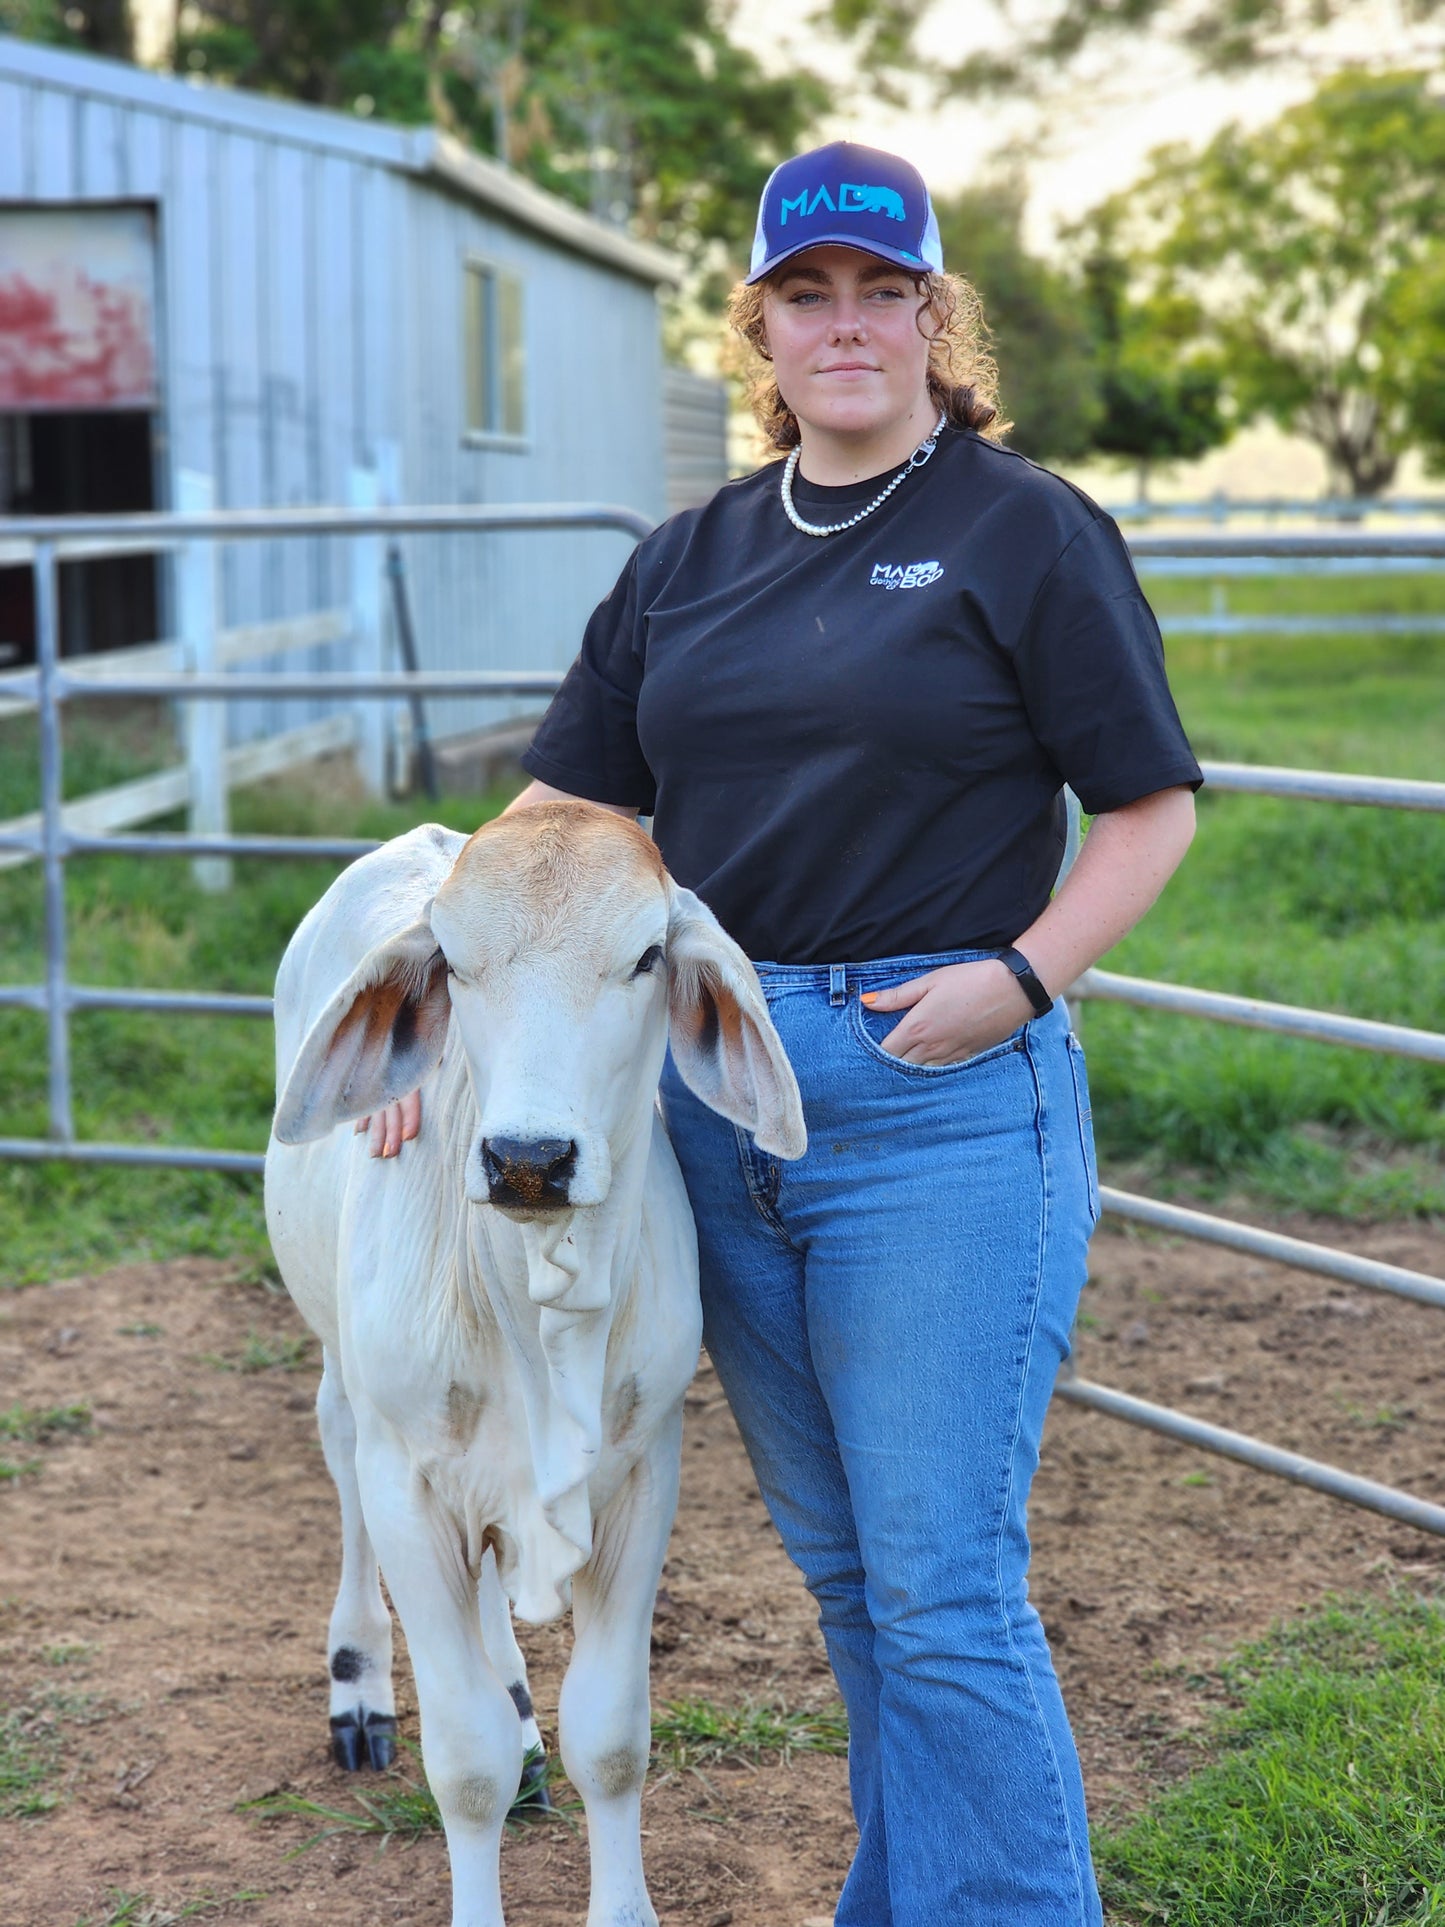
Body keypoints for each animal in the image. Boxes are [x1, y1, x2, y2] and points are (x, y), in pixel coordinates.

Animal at [265, 805, 809, 1927]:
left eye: (644, 956)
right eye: (454, 963)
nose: (527, 1159)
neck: (532, 1315)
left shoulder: (642, 1479)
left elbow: (610, 1738)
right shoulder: (407, 1483)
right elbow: (461, 1761)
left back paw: (521, 1720)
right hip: (349, 1382)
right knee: (340, 1461)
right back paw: (359, 1686)